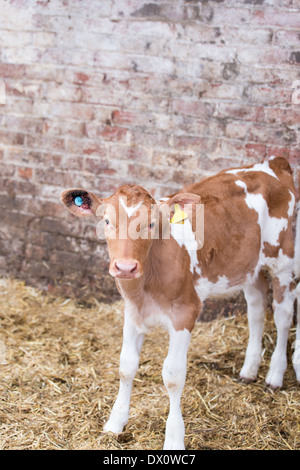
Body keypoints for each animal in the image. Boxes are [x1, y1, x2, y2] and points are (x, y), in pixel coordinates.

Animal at [61, 156, 300, 450]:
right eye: (106, 220)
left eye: (152, 224)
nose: (126, 267)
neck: (146, 287)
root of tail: (273, 162)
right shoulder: (132, 313)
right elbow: (126, 366)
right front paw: (115, 423)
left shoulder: (185, 313)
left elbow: (173, 377)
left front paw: (174, 438)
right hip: (247, 266)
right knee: (256, 308)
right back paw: (249, 370)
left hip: (282, 259)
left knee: (283, 314)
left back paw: (275, 374)